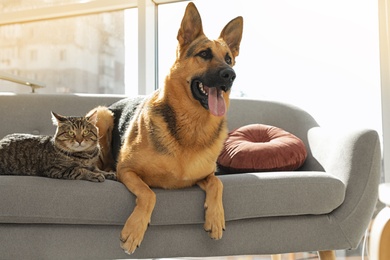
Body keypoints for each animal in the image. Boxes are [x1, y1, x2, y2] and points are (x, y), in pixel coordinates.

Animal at [92, 2, 242, 254]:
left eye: (229, 59)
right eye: (204, 54)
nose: (230, 75)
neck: (192, 126)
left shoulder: (206, 175)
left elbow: (217, 183)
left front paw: (215, 218)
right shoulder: (128, 171)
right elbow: (149, 193)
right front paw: (134, 230)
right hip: (102, 116)